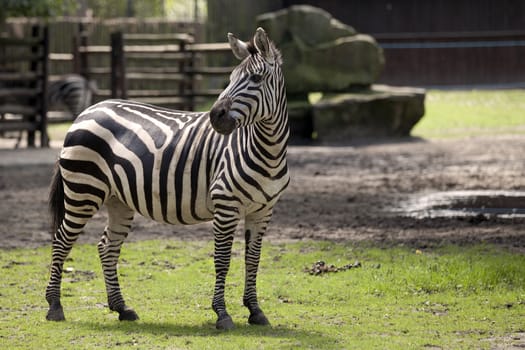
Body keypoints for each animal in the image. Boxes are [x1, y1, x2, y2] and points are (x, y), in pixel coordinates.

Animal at [44, 28, 288, 330]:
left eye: (255, 78)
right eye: (231, 78)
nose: (214, 116)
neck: (267, 150)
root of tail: (86, 111)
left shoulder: (263, 211)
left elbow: (253, 260)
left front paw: (255, 311)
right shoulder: (226, 206)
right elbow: (222, 260)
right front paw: (222, 314)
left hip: (117, 200)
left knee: (107, 247)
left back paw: (121, 307)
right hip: (83, 191)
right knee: (61, 240)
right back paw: (55, 306)